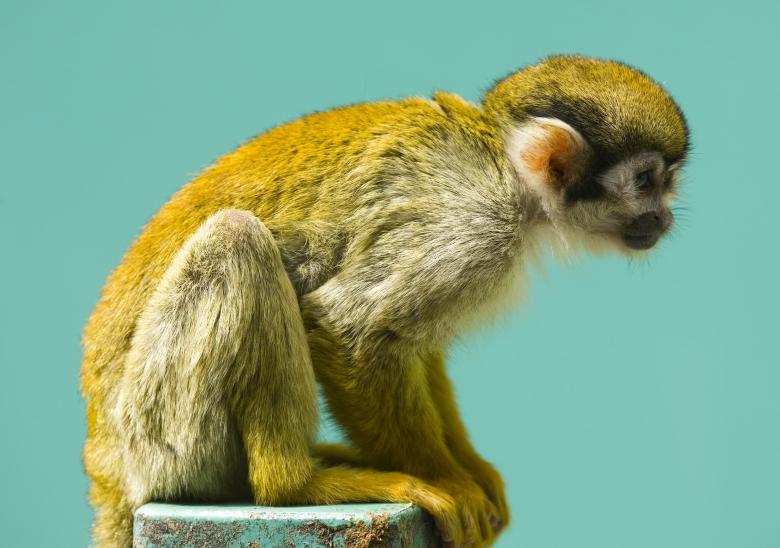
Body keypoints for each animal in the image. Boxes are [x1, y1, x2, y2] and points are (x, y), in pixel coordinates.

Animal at [80, 54, 688, 547]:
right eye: (645, 181)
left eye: (667, 184)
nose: (663, 218)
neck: (506, 173)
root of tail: (106, 467)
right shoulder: (473, 228)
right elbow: (351, 328)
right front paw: (452, 482)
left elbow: (414, 346)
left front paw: (473, 470)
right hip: (159, 427)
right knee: (238, 241)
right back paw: (296, 482)